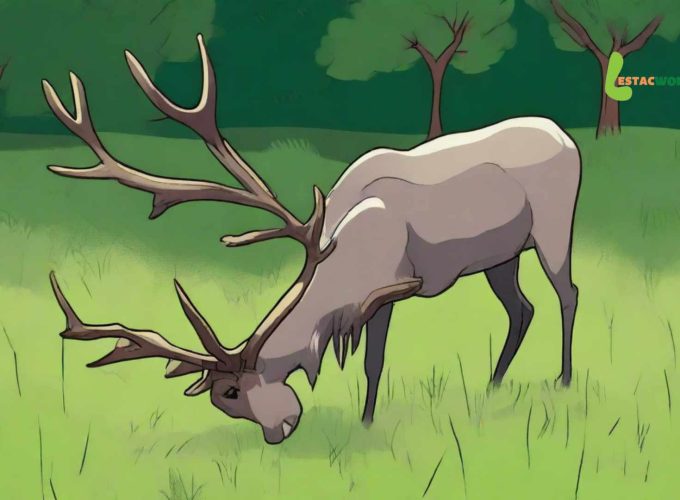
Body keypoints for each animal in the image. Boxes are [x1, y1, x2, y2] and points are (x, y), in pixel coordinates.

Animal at [43, 34, 581, 444]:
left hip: (555, 226)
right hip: (501, 254)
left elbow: (373, 362)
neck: (340, 264)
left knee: (566, 293)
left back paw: (564, 378)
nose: (279, 430)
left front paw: (366, 422)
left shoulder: (387, 289)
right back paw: (493, 385)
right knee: (521, 308)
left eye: (231, 392)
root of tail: (565, 136)